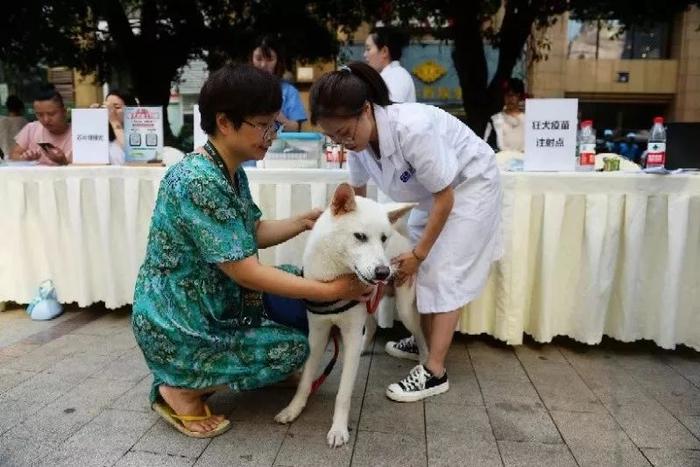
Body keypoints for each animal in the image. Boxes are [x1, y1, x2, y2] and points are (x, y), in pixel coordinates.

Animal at [274, 182, 426, 446]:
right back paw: (365, 348)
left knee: (421, 334)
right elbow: (305, 381)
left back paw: (424, 364)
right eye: (360, 237)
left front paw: (338, 430)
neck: (334, 276)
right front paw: (293, 409)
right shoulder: (317, 333)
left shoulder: (351, 333)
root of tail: (401, 235)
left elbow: (343, 394)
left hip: (405, 309)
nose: (383, 272)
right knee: (373, 326)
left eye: (383, 239)